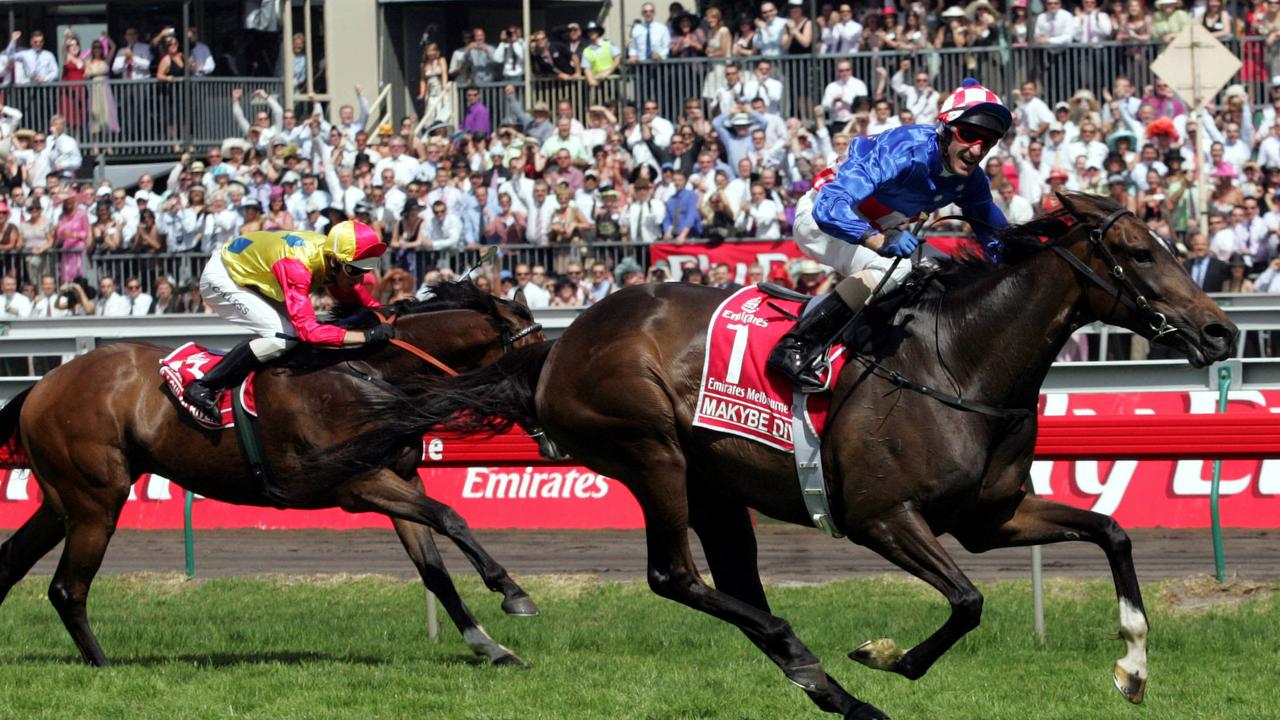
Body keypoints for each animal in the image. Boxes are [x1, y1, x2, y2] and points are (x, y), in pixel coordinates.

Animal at [0, 280, 542, 666]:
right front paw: (513, 593)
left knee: (15, 563)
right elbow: (452, 517)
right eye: (533, 354)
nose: (547, 415)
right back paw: (104, 665)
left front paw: (492, 647)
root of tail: (44, 383)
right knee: (67, 588)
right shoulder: (359, 483)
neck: (372, 373)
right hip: (96, 501)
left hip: (65, 501)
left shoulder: (403, 481)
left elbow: (434, 570)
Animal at [348, 193, 1239, 712]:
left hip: (713, 484)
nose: (1222, 331)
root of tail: (558, 346)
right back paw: (812, 661)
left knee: (731, 584)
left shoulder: (993, 518)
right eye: (1141, 253)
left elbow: (1112, 532)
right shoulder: (882, 515)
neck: (961, 361)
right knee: (676, 576)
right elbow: (967, 602)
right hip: (651, 450)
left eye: (1169, 243)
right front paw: (886, 656)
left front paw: (1133, 667)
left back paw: (817, 678)